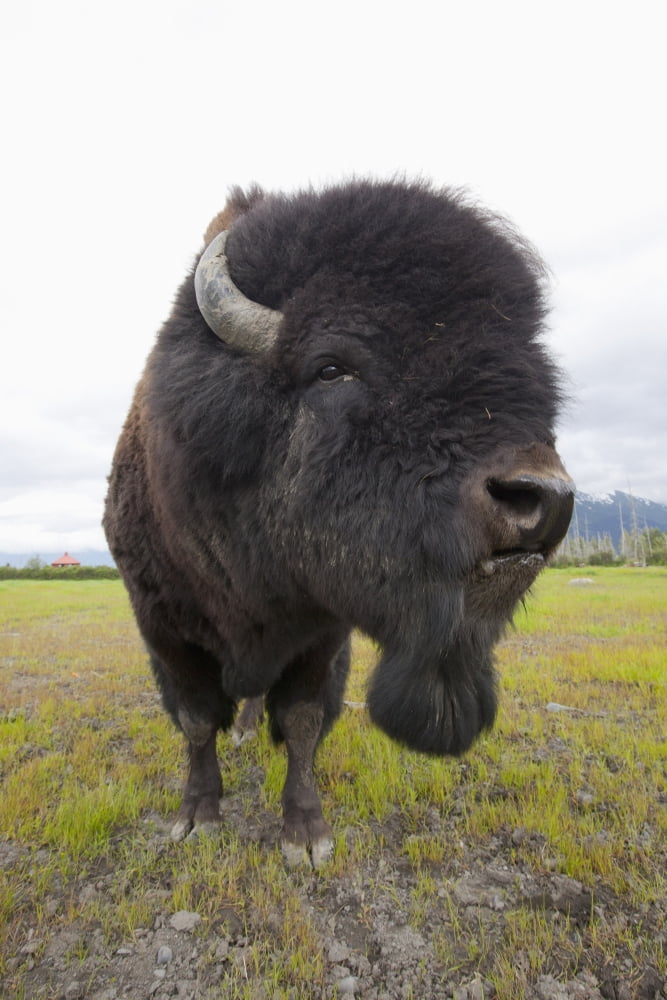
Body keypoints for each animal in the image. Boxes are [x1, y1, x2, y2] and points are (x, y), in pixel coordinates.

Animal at [104, 179, 574, 868]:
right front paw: (196, 818)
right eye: (331, 367)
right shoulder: (163, 626)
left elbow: (301, 721)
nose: (544, 498)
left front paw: (305, 835)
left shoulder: (321, 632)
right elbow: (195, 721)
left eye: (536, 374)